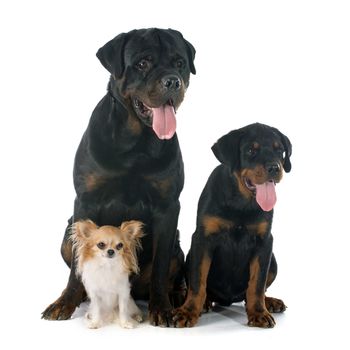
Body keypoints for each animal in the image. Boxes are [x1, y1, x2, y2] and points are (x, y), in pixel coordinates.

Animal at [42, 28, 196, 326]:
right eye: (142, 63)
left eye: (180, 63)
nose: (173, 81)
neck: (135, 142)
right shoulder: (85, 201)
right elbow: (77, 266)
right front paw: (65, 303)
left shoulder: (168, 207)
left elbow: (161, 266)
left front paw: (162, 308)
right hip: (66, 232)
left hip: (177, 244)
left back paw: (177, 297)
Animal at [174, 123, 292, 328]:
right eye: (251, 150)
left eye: (280, 150)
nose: (274, 168)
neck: (241, 203)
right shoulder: (203, 239)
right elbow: (198, 281)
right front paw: (188, 312)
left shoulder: (264, 242)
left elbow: (257, 283)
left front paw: (259, 313)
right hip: (190, 256)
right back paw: (205, 302)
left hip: (273, 262)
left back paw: (270, 302)